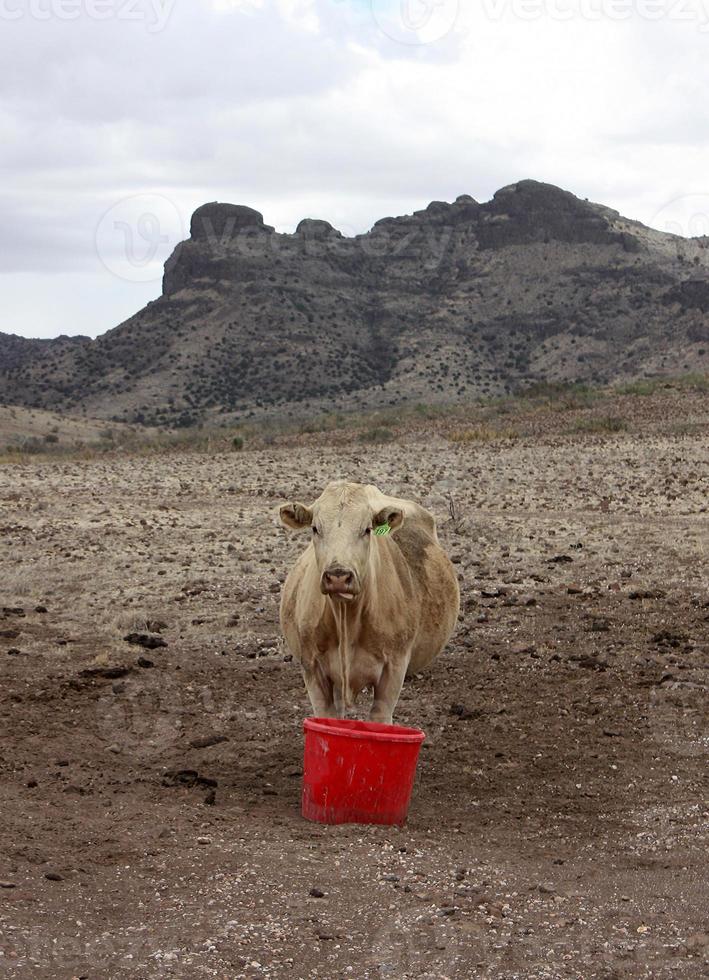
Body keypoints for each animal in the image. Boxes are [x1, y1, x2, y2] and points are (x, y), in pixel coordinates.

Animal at [276, 478, 460, 724]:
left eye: (367, 529)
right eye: (315, 528)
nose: (338, 576)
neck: (347, 617)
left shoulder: (394, 669)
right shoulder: (312, 669)